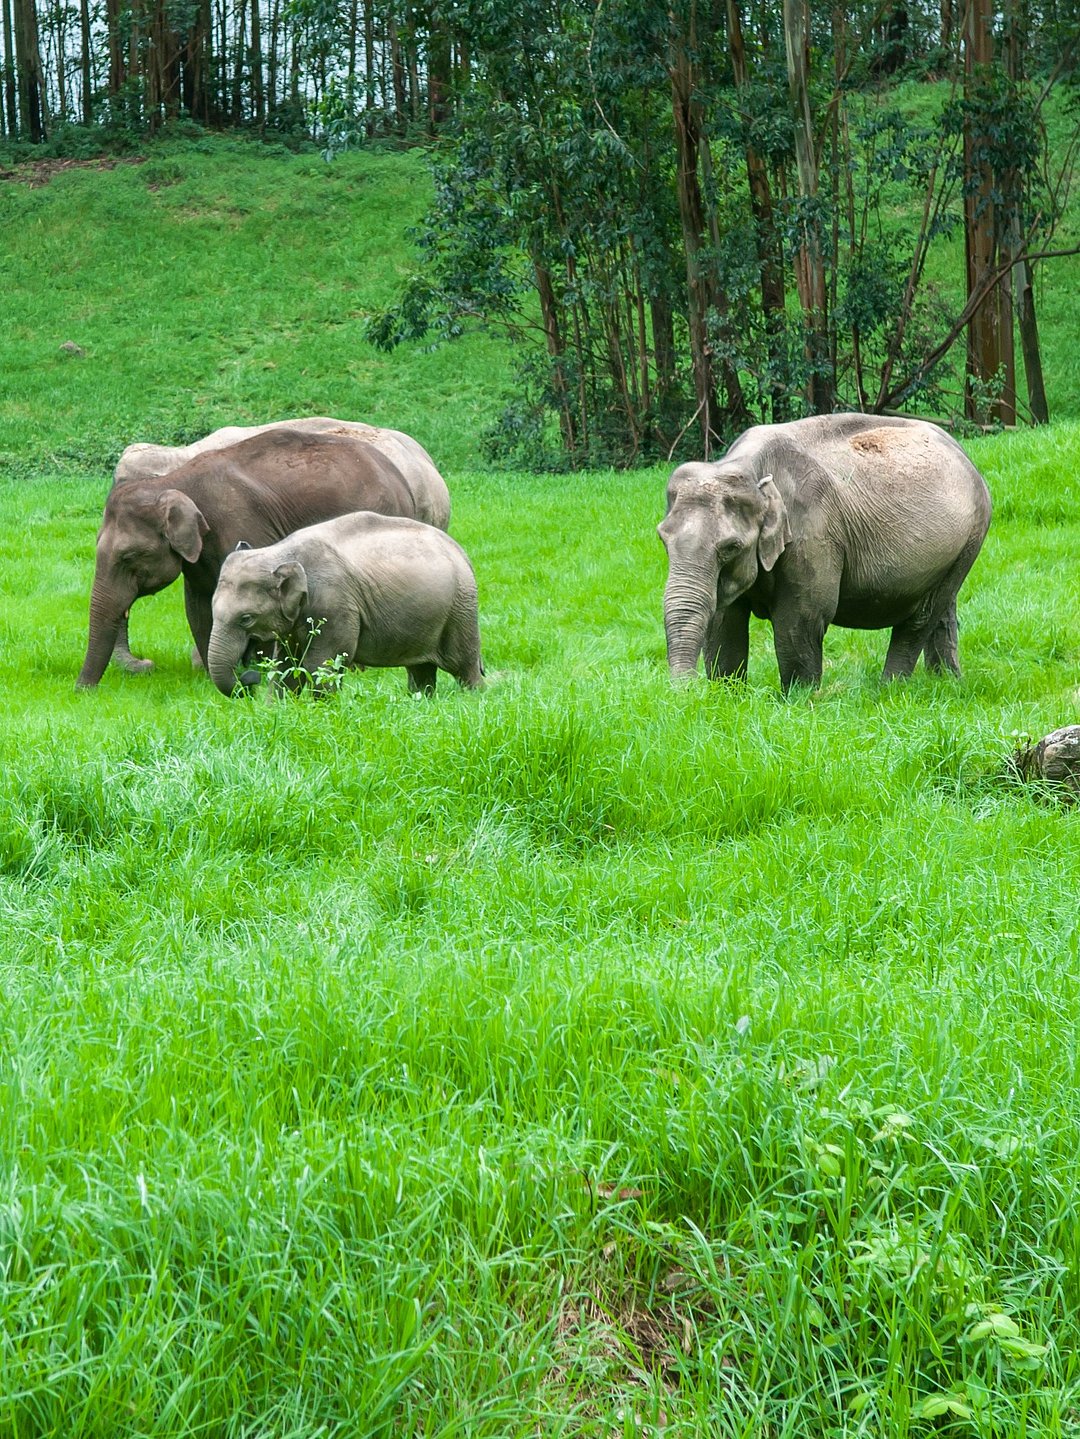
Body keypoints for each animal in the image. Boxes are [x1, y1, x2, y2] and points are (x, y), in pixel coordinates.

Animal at [77, 426, 433, 689]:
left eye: (129, 556)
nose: (82, 691)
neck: (171, 481)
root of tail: (404, 483)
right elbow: (199, 606)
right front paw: (215, 680)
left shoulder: (240, 525)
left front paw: (259, 671)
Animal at [206, 512, 484, 697]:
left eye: (246, 618)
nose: (249, 680)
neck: (279, 552)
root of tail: (460, 551)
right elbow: (286, 665)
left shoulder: (334, 603)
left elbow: (322, 663)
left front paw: (322, 709)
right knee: (420, 669)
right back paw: (419, 700)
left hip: (460, 607)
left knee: (463, 664)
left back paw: (473, 698)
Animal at [658, 413, 992, 691]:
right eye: (662, 538)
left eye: (730, 547)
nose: (687, 694)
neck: (744, 465)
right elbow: (724, 622)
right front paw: (727, 695)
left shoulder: (814, 535)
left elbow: (802, 618)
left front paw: (799, 699)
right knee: (943, 610)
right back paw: (946, 682)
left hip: (971, 538)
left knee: (921, 616)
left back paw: (889, 690)